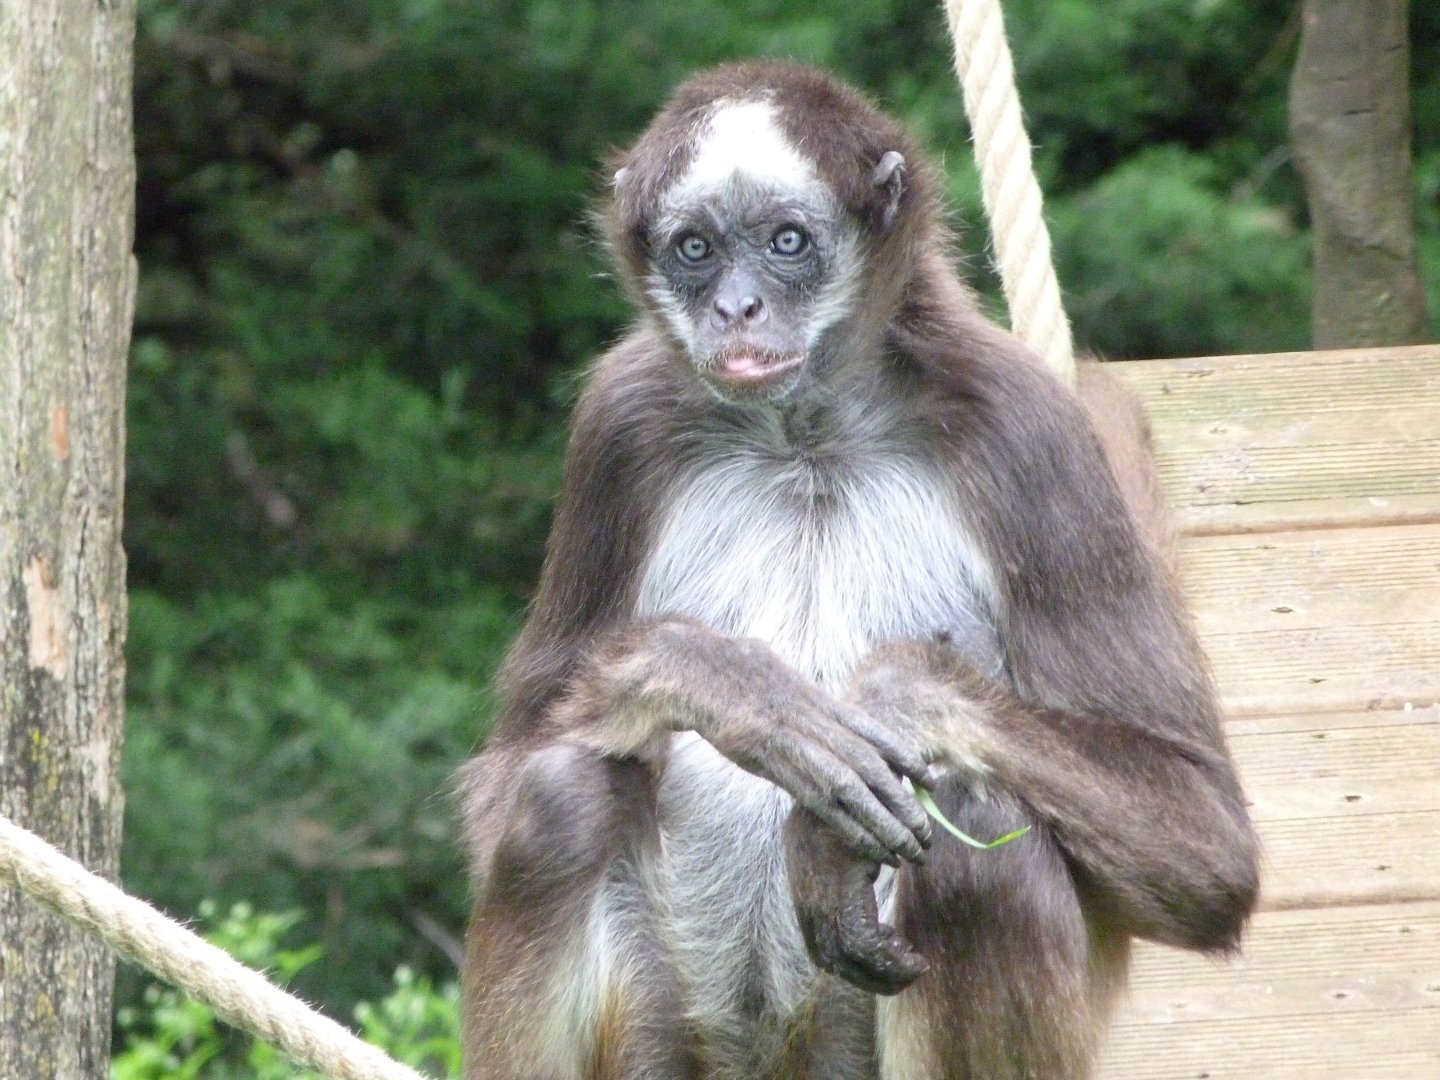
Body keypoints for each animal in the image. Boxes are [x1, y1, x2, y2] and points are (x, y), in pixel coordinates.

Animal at [457, 60, 1258, 1080]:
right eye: (695, 250)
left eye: (787, 242)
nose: (735, 308)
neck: (807, 437)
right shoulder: (618, 424)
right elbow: (503, 784)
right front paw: (725, 685)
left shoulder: (1026, 424)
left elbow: (1209, 847)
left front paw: (890, 703)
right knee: (555, 801)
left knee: (977, 836)